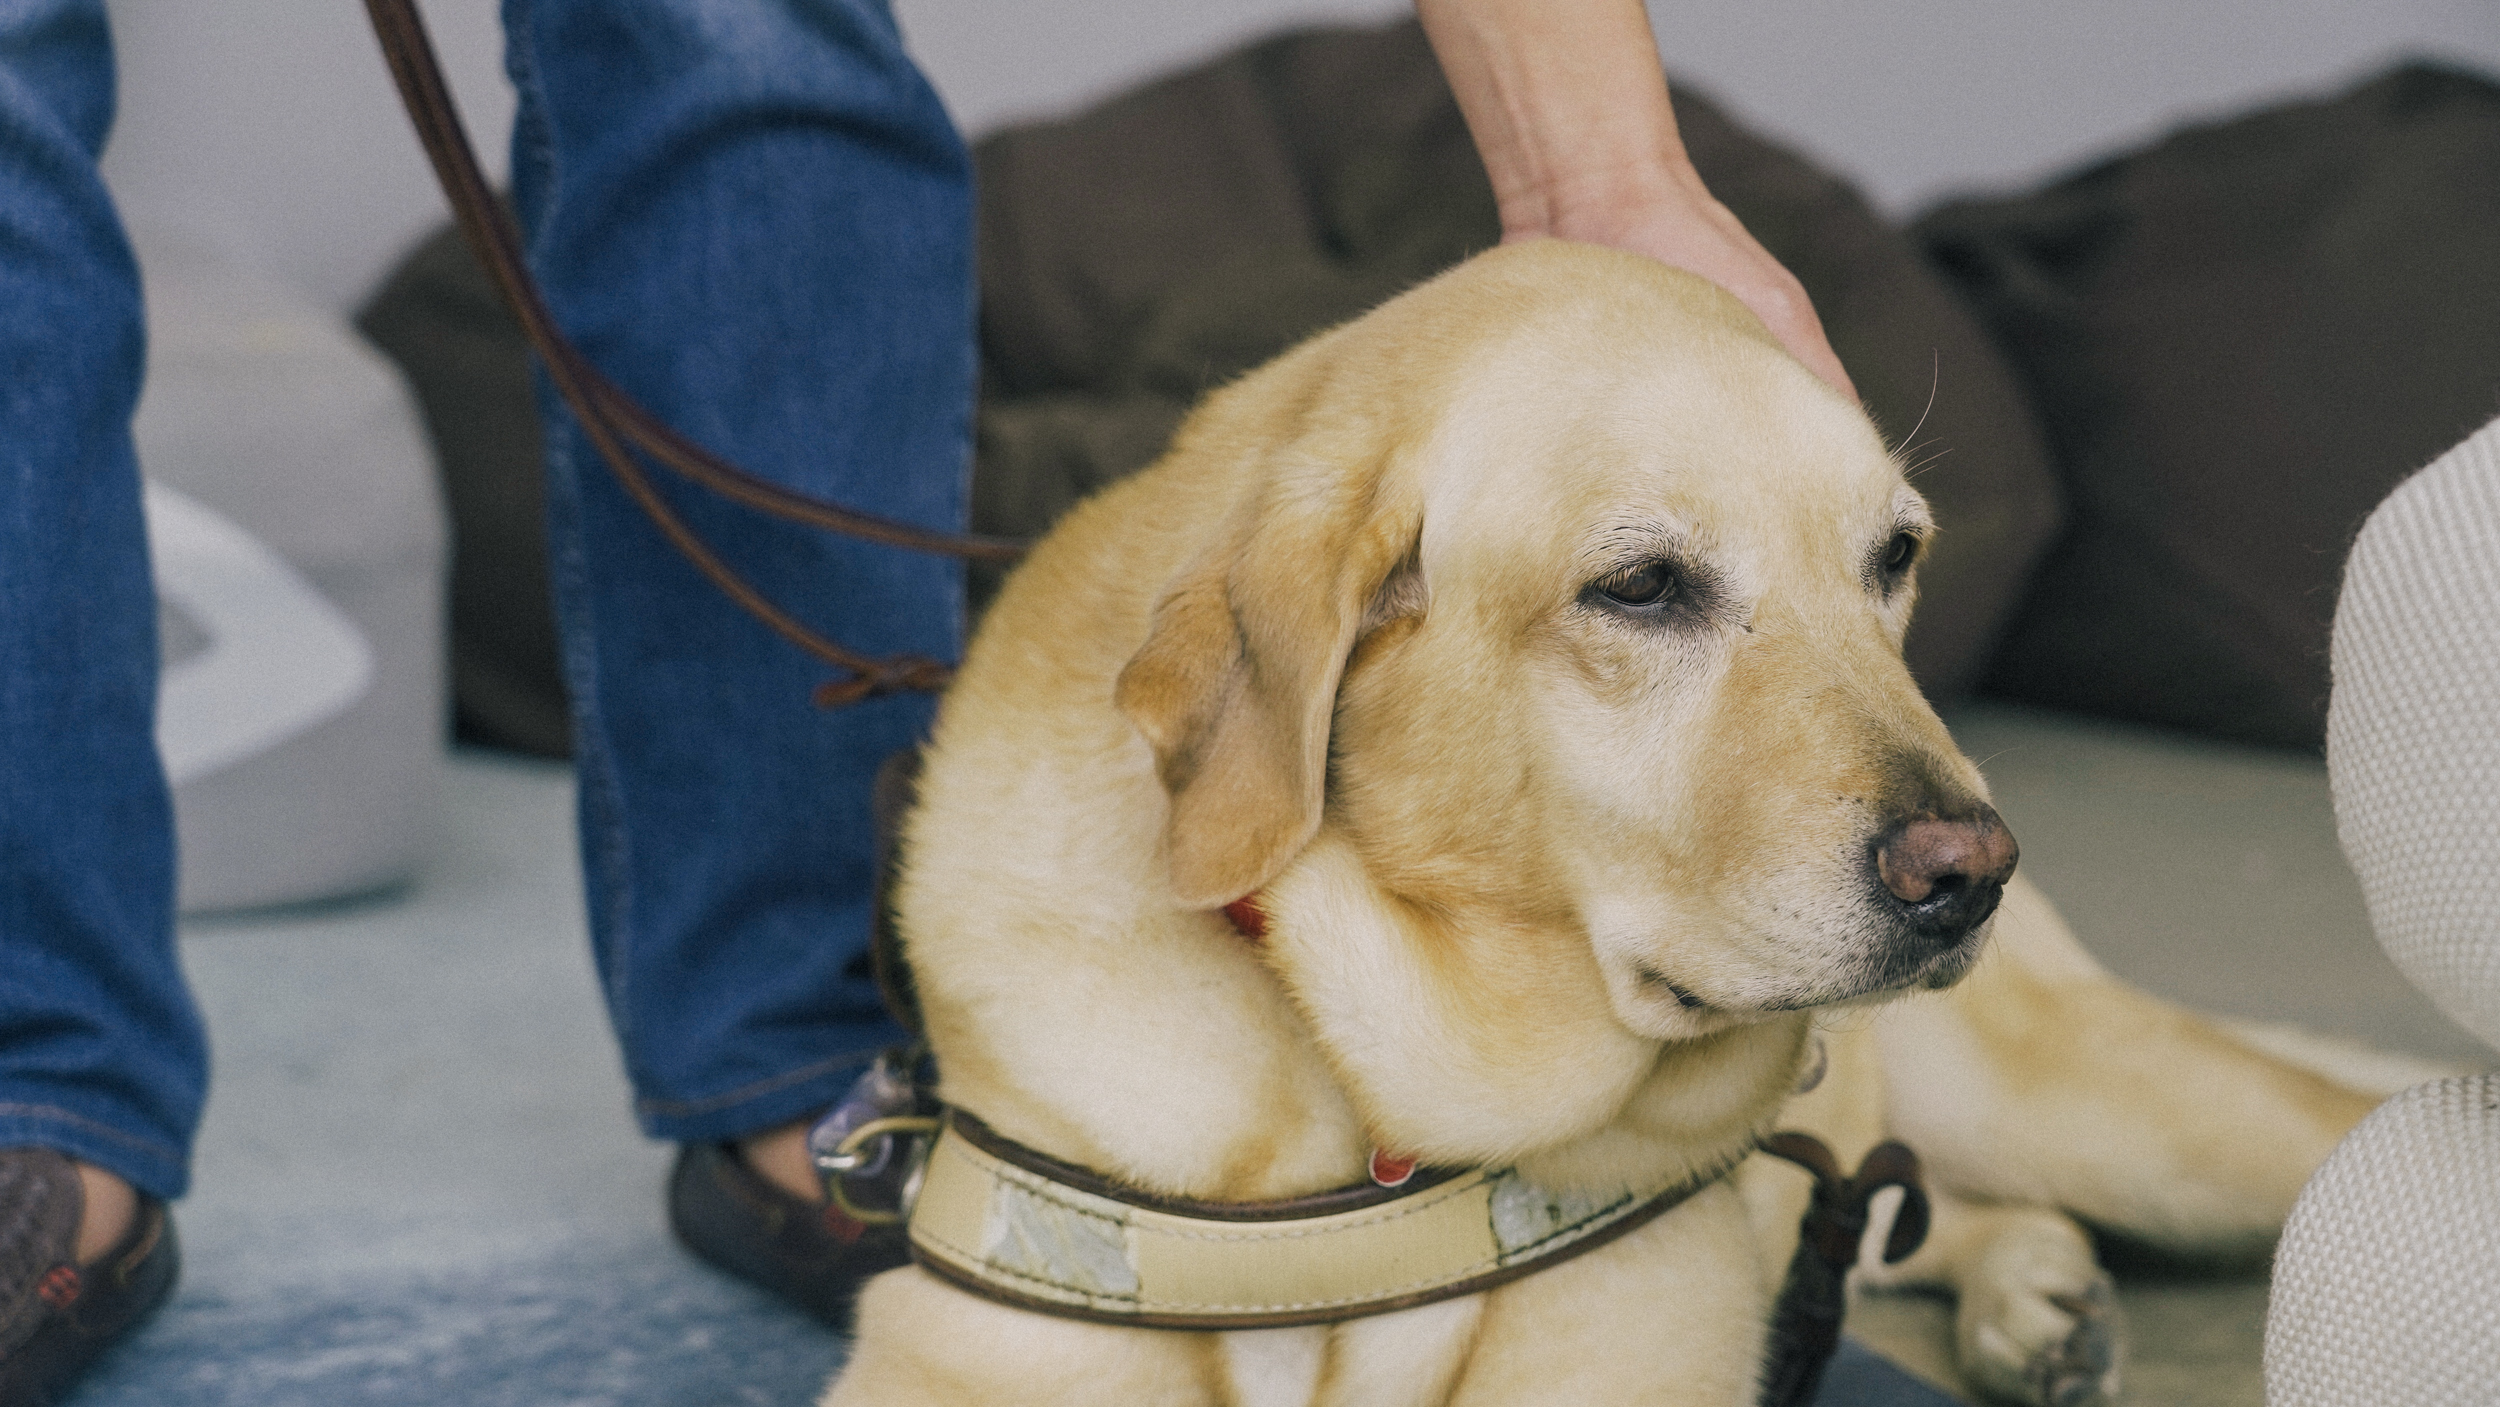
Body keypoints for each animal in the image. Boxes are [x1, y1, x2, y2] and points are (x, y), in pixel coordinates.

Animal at [835, 244, 2380, 1407]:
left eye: (1894, 556)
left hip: (2121, 1112)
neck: (1362, 1119)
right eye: (1640, 586)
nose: (1972, 870)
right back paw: (2035, 1297)